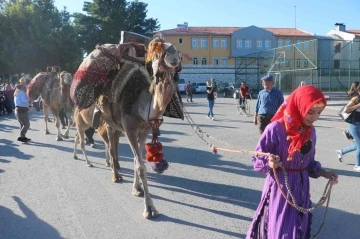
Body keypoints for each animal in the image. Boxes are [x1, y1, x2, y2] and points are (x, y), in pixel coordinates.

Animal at [70, 33, 183, 218]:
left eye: (175, 49)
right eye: (160, 51)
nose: (174, 57)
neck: (141, 103)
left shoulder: (144, 129)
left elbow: (137, 160)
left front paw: (137, 190)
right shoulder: (130, 128)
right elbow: (140, 166)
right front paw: (149, 209)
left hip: (115, 125)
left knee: (112, 144)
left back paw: (115, 167)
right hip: (108, 120)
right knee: (110, 145)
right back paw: (115, 175)